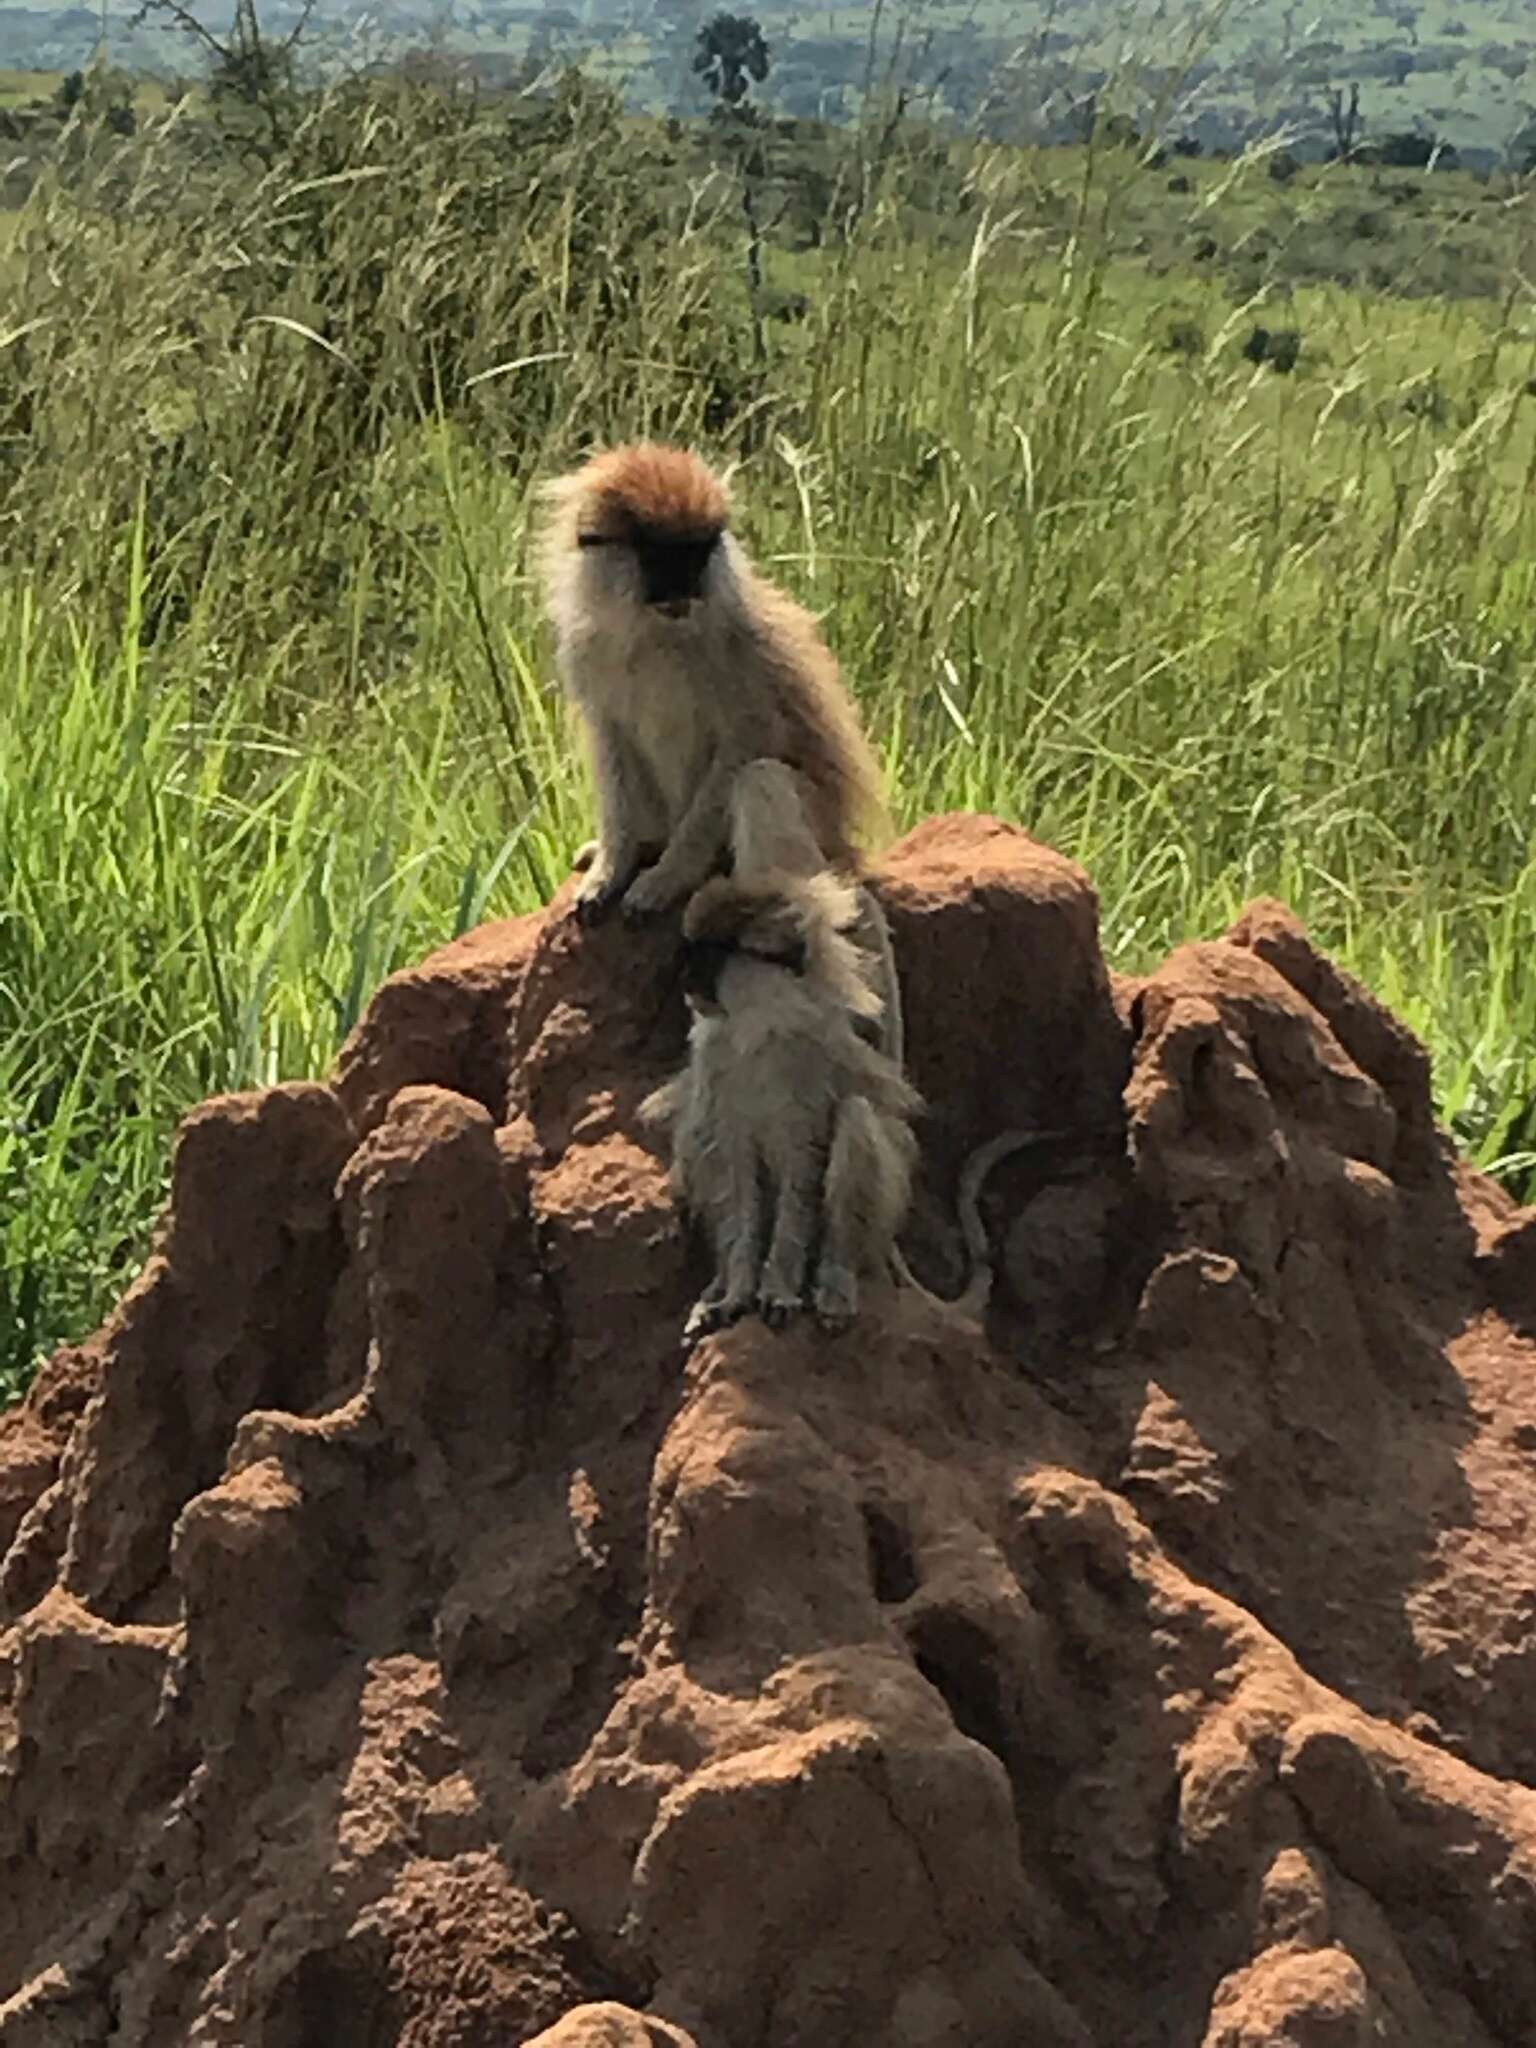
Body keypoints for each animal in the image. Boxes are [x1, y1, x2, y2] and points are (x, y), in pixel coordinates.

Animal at [540, 448, 888, 937]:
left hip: (822, 836)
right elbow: (612, 743)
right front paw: (610, 867)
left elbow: (747, 743)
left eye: (697, 554)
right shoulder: (589, 651)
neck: (653, 632)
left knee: (761, 779)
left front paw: (666, 877)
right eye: (665, 559)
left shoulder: (740, 644)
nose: (686, 589)